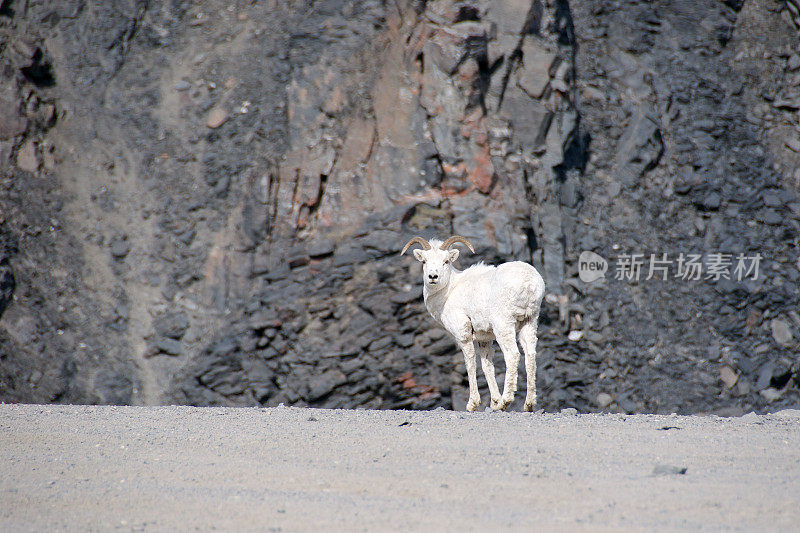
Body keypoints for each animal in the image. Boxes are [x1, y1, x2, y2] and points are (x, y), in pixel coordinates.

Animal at [400, 234, 544, 412]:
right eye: (424, 261)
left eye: (446, 261)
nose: (433, 277)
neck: (449, 291)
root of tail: (528, 282)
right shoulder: (485, 339)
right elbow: (487, 366)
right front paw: (493, 402)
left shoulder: (463, 334)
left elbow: (470, 364)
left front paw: (473, 404)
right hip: (529, 321)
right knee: (530, 355)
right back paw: (528, 404)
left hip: (503, 325)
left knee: (512, 355)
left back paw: (505, 401)